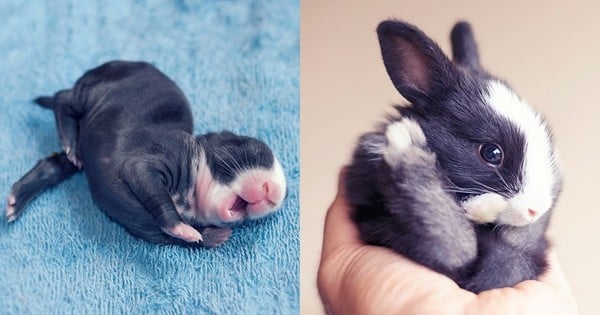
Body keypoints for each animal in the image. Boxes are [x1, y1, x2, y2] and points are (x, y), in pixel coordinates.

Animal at [4, 61, 286, 249]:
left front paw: (211, 235)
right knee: (63, 99)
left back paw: (21, 196)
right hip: (93, 90)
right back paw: (66, 135)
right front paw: (184, 228)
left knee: (57, 163)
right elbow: (149, 186)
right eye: (251, 149)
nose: (276, 191)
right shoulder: (157, 158)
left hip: (85, 149)